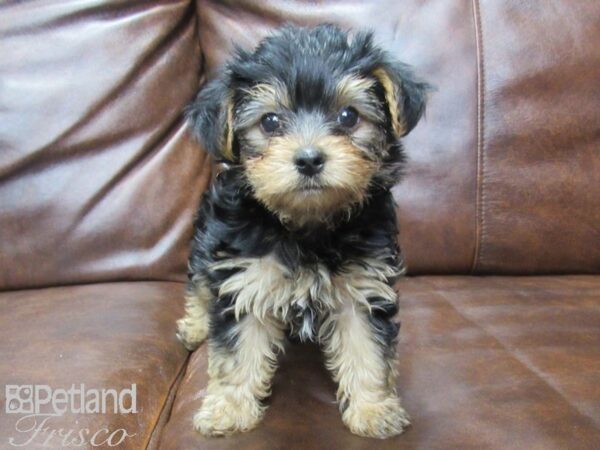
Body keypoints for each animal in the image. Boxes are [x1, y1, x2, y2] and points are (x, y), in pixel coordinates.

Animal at [176, 24, 428, 440]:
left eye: (348, 116)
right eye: (270, 122)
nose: (309, 159)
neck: (306, 226)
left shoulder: (363, 285)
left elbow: (367, 348)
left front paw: (373, 409)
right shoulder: (244, 279)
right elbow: (237, 352)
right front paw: (229, 409)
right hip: (205, 242)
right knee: (199, 283)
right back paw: (195, 326)